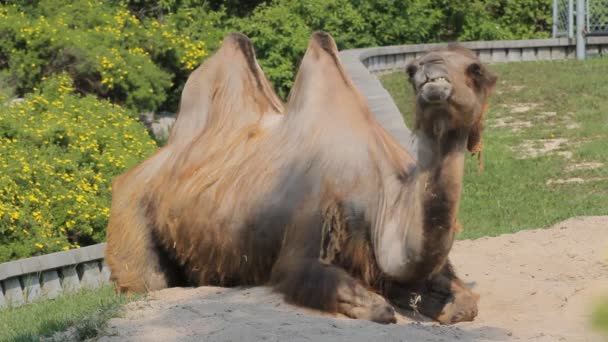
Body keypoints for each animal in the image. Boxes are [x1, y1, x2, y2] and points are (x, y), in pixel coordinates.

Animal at [103, 32, 494, 326]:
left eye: (475, 68)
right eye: (411, 69)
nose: (431, 76)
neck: (381, 194)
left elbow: (464, 304)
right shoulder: (309, 221)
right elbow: (352, 296)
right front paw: (381, 305)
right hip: (130, 211)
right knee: (146, 282)